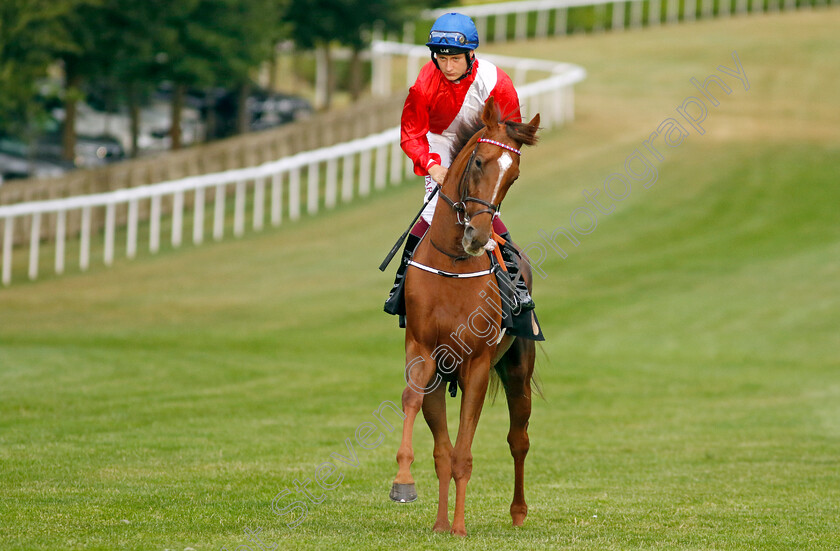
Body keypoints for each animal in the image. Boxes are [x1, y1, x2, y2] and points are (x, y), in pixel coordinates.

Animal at [390, 97, 540, 536]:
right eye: (478, 162)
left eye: (514, 175)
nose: (477, 236)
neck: (452, 267)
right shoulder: (423, 351)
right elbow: (414, 406)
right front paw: (405, 484)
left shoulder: (476, 364)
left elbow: (463, 453)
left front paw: (458, 527)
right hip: (443, 377)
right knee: (442, 447)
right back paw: (440, 521)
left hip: (517, 368)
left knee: (518, 439)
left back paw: (517, 512)